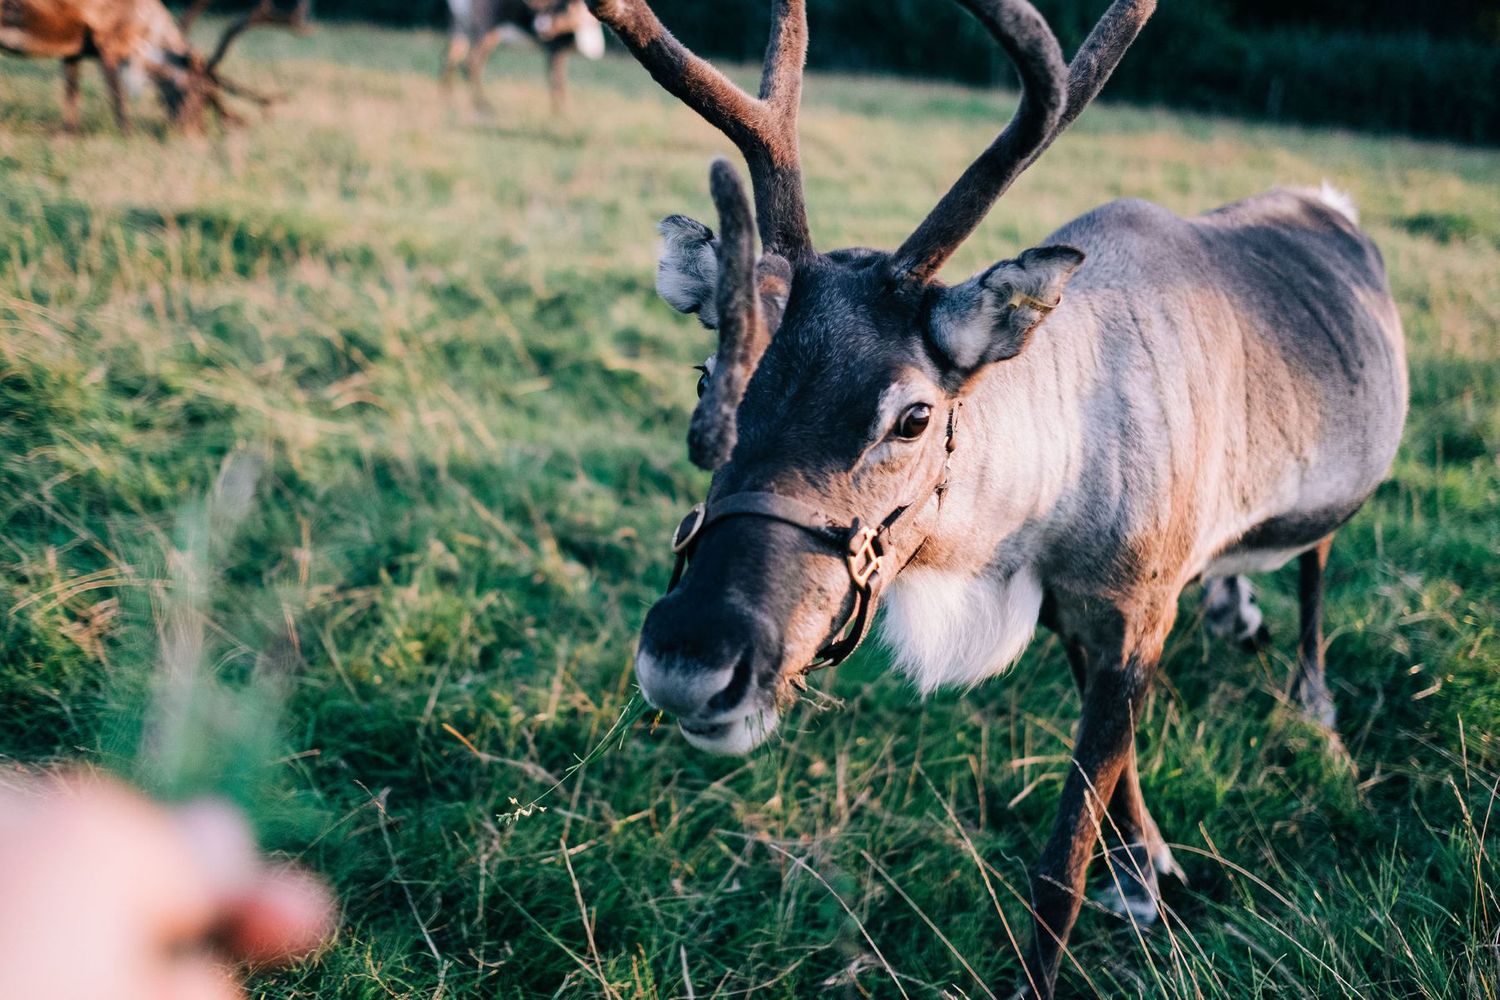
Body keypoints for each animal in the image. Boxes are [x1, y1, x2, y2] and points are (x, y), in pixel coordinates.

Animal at [0, 0, 306, 133]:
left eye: (209, 95)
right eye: (194, 91)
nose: (189, 132)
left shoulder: (74, 46)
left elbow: (71, 96)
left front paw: (67, 135)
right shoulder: (108, 40)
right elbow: (119, 101)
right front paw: (127, 137)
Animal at [441, 0, 605, 116]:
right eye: (565, 6)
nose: (542, 28)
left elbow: (555, 79)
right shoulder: (553, 49)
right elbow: (557, 81)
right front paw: (561, 113)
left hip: (459, 26)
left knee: (451, 57)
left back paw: (447, 101)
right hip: (486, 29)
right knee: (472, 63)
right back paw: (484, 106)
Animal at [590, 0, 1408, 993]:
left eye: (912, 416)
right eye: (710, 374)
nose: (689, 657)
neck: (1023, 533)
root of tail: (1336, 204)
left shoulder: (1140, 605)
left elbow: (1061, 861)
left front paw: (1090, 917)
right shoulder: (1077, 613)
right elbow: (1116, 772)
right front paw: (1144, 869)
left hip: (1340, 481)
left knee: (1319, 557)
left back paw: (1313, 700)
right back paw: (1236, 610)